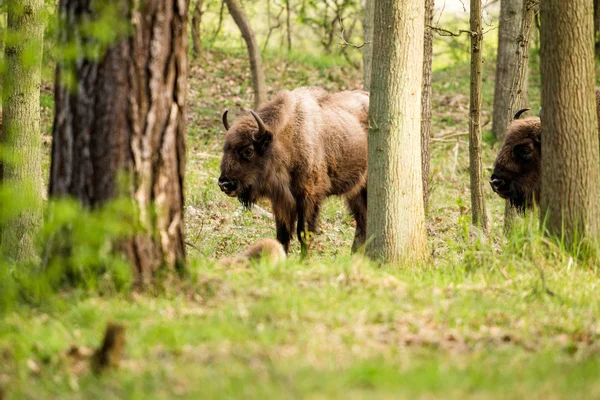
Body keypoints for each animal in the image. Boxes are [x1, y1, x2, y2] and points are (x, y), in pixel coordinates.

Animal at [219, 87, 370, 255]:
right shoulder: (281, 200)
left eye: (248, 151)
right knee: (362, 221)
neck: (288, 139)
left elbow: (303, 233)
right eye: (225, 149)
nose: (224, 183)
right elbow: (282, 234)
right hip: (356, 192)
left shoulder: (308, 197)